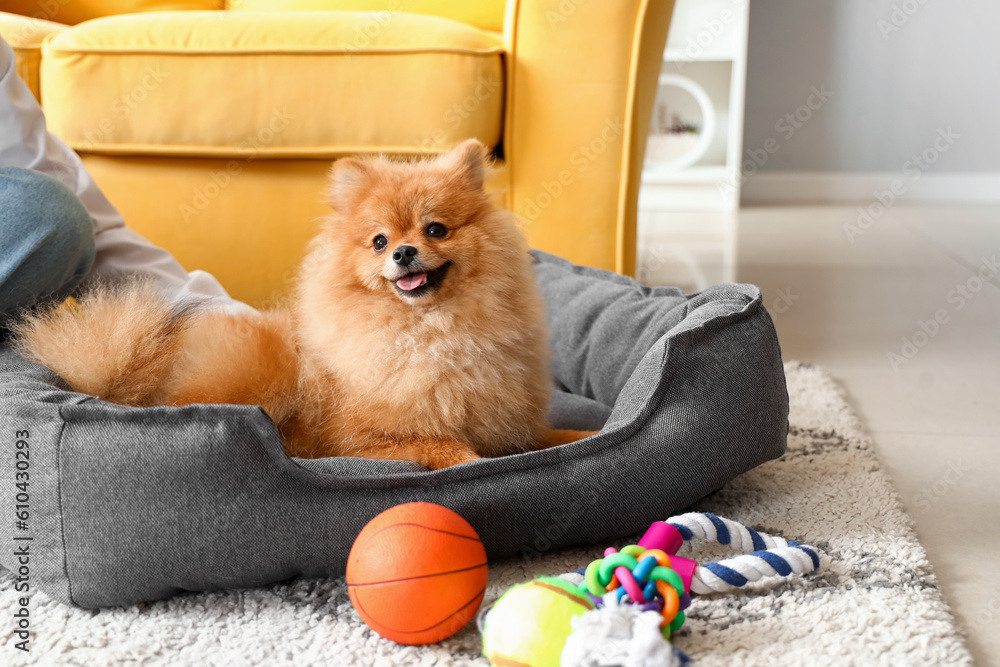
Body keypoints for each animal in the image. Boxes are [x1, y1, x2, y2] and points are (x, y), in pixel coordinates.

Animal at [11, 140, 592, 470]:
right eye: (379, 241)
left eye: (435, 229)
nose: (403, 252)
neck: (432, 332)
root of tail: (139, 381)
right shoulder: (363, 439)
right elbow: (445, 447)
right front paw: (473, 462)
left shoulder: (510, 420)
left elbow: (549, 436)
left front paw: (587, 435)